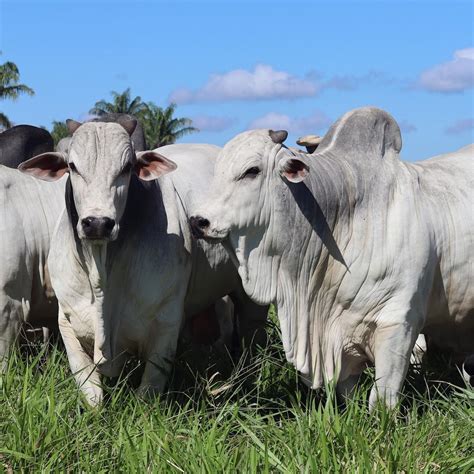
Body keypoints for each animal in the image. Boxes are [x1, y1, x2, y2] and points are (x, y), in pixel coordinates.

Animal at [19, 120, 266, 406]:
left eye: (127, 167)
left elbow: (148, 392)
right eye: (72, 166)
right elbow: (92, 393)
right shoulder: (67, 323)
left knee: (251, 332)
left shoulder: (166, 323)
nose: (98, 223)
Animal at [190, 107, 474, 408]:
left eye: (251, 171)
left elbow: (382, 399)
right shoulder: (339, 337)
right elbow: (347, 392)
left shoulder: (400, 323)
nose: (198, 221)